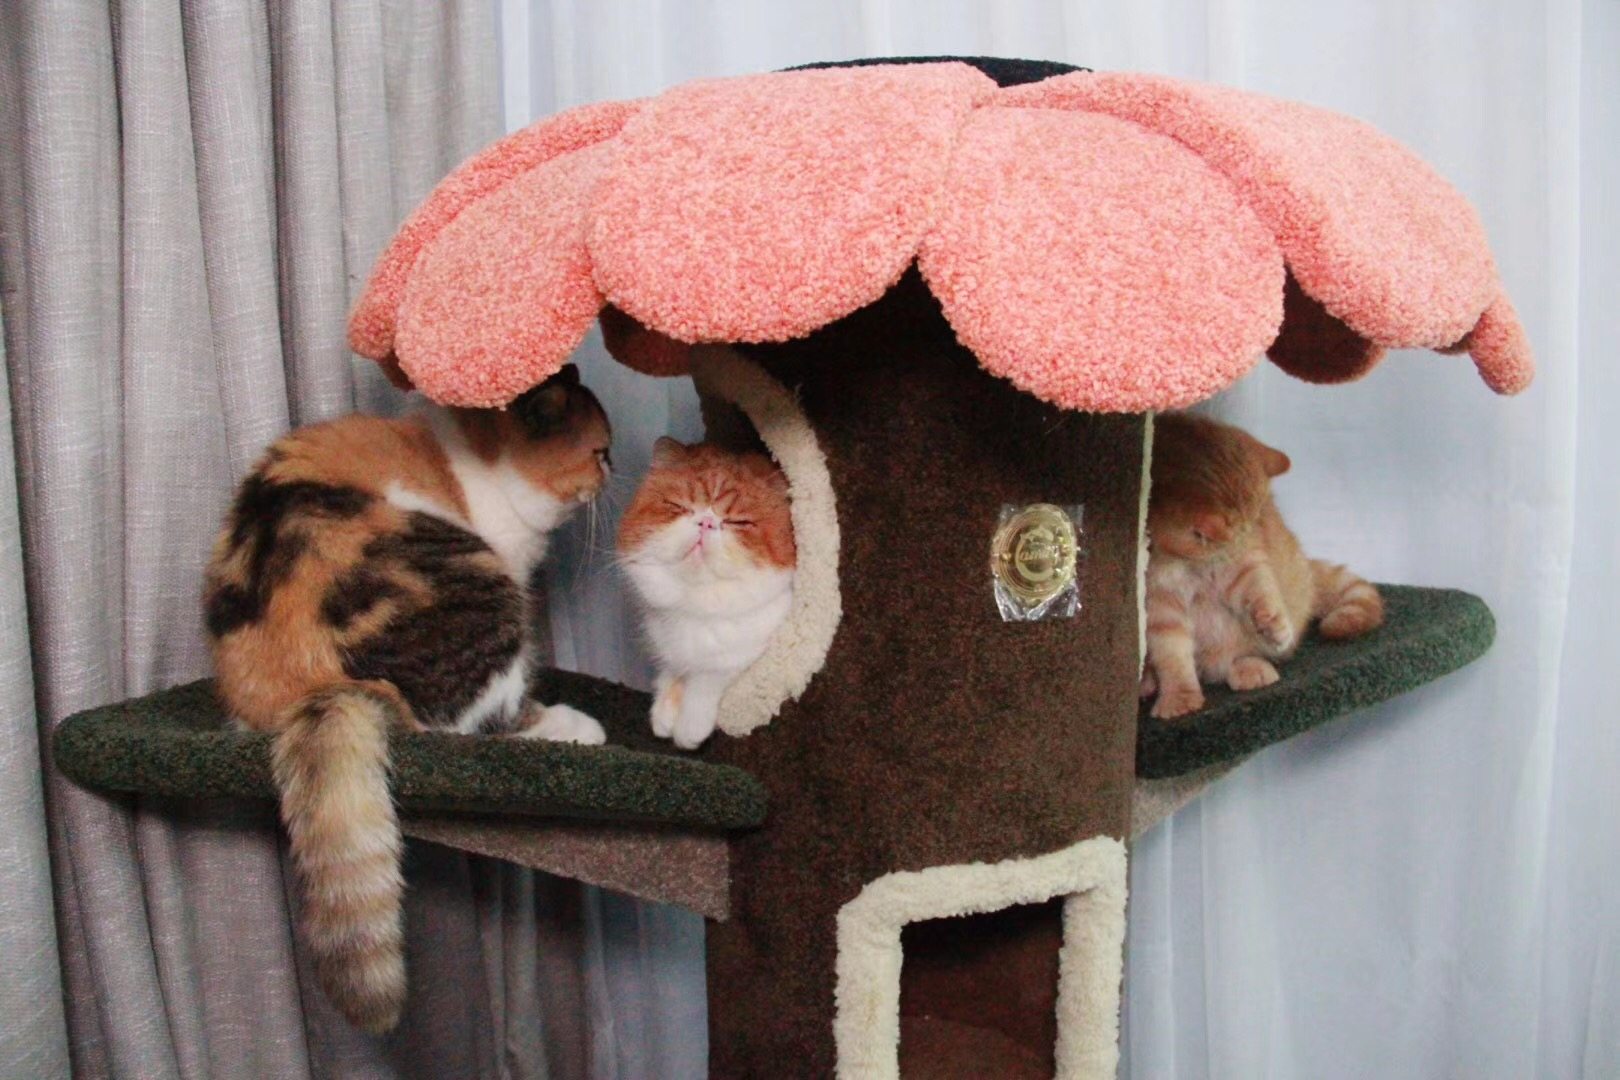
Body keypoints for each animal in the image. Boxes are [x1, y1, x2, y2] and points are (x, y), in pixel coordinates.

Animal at [203, 363, 611, 1034]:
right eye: (600, 450)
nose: (614, 467)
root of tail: (315, 688)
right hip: (479, 579)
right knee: (475, 721)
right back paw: (571, 725)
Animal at [617, 438, 796, 750]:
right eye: (680, 506)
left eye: (739, 522)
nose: (706, 522)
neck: (694, 606)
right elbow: (673, 668)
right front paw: (664, 708)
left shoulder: (748, 651)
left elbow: (707, 678)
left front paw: (689, 725)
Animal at [1142, 412, 1384, 720]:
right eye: (1203, 541)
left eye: (1256, 522)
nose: (1247, 536)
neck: (1190, 566)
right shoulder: (1159, 605)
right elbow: (1171, 655)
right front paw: (1179, 697)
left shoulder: (1245, 563)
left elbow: (1259, 587)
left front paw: (1274, 623)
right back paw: (1147, 681)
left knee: (1236, 657)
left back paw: (1251, 666)